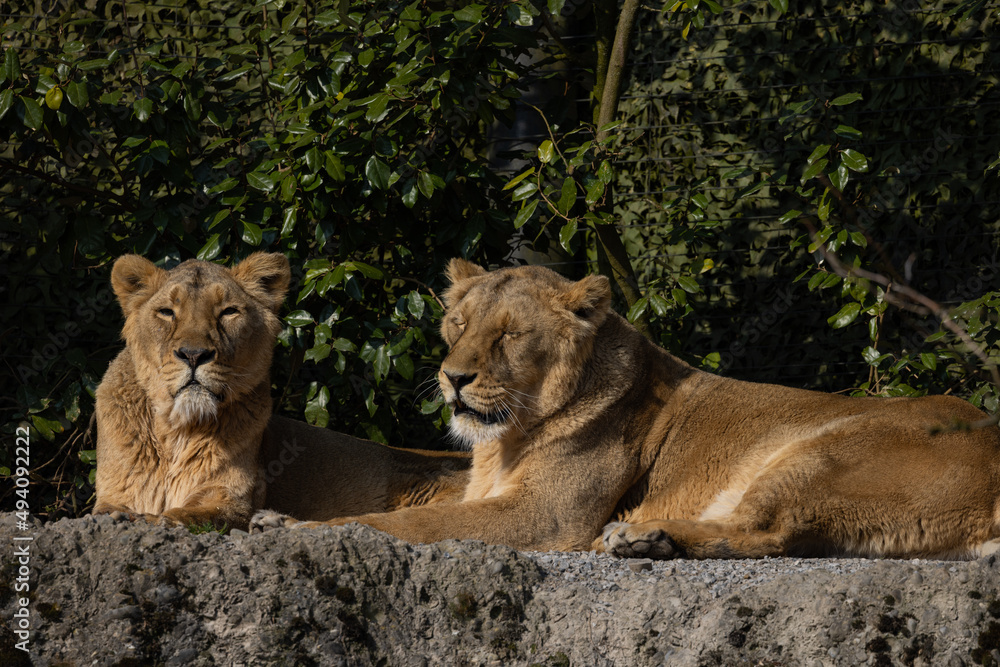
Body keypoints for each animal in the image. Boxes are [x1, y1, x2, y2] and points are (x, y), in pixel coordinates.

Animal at [93, 253, 469, 532]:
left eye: (228, 312)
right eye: (166, 312)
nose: (194, 355)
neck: (177, 431)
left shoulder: (232, 500)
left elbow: (187, 513)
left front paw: (144, 519)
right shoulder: (113, 492)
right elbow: (108, 509)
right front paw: (127, 515)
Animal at [252, 258, 1000, 560]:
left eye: (509, 335)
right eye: (457, 325)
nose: (453, 377)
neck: (509, 436)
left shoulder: (546, 515)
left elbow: (408, 521)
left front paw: (296, 528)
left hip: (826, 451)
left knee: (772, 531)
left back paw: (637, 537)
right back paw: (648, 538)